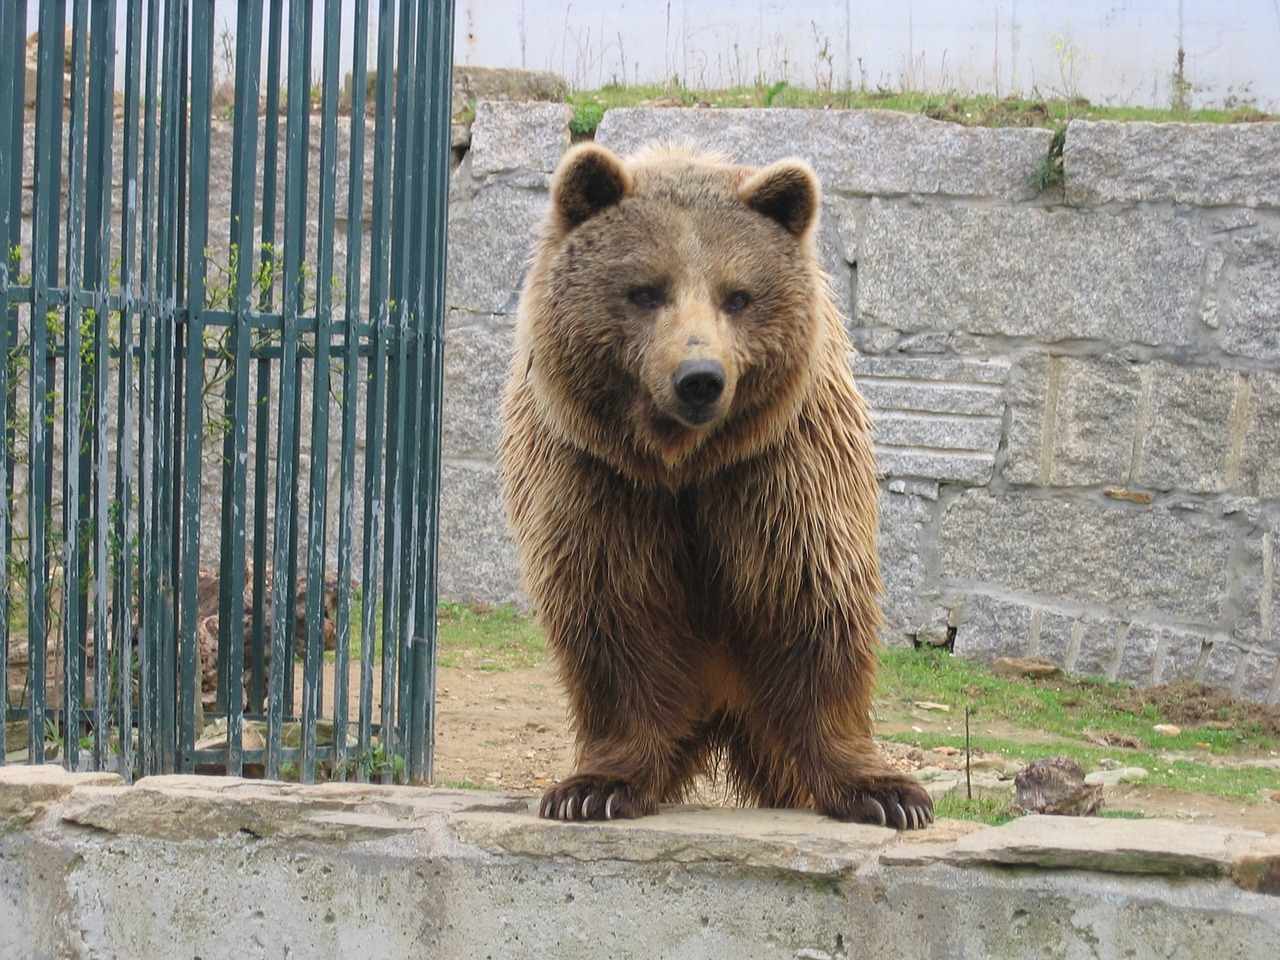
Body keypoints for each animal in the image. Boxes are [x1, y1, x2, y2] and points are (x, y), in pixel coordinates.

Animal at [496, 138, 931, 829]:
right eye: (646, 291)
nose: (699, 377)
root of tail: (721, 712)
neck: (682, 462)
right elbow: (613, 612)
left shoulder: (776, 472)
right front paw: (595, 787)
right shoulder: (598, 480)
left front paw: (885, 792)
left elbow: (812, 604)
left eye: (739, 296)